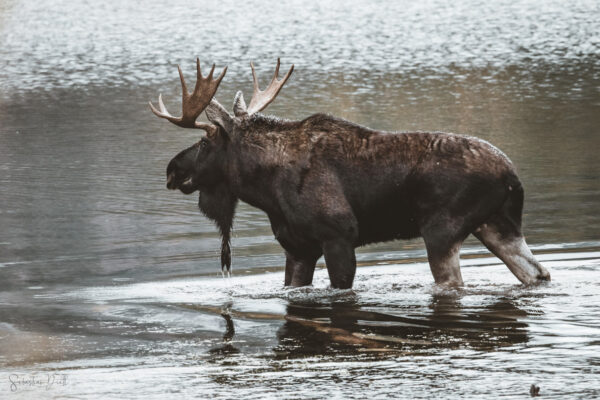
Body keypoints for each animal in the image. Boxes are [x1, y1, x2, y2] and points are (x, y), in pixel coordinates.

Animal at [149, 58, 548, 288]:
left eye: (205, 142)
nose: (172, 170)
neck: (265, 190)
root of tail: (512, 177)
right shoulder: (298, 247)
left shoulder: (338, 235)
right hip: (496, 225)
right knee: (537, 272)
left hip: (442, 230)